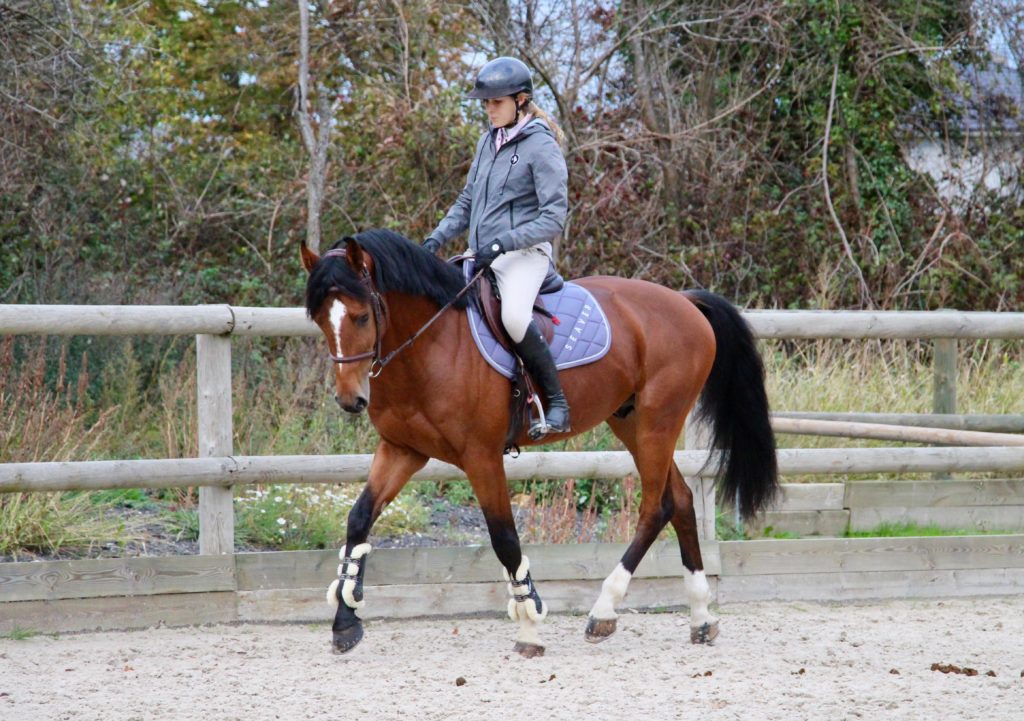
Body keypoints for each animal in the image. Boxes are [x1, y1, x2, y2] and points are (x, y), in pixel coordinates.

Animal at [299, 229, 778, 659]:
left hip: (658, 423)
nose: (350, 400)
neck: (432, 344)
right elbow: (358, 520)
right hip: (631, 422)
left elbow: (504, 538)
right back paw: (701, 618)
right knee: (678, 500)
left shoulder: (481, 457)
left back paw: (604, 611)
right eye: (320, 318)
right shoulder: (403, 450)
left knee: (654, 507)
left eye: (362, 317)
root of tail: (684, 301)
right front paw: (345, 621)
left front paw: (529, 626)